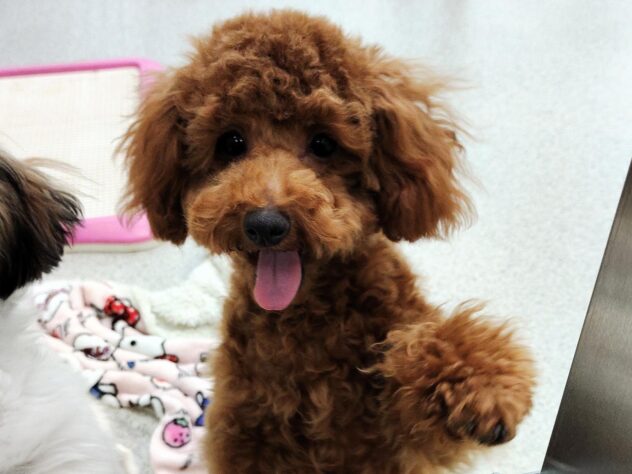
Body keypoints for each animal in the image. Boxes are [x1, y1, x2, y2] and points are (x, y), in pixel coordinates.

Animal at [123, 10, 536, 473]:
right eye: (231, 142)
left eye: (323, 143)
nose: (266, 224)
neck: (306, 320)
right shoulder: (248, 431)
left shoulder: (398, 436)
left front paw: (482, 393)